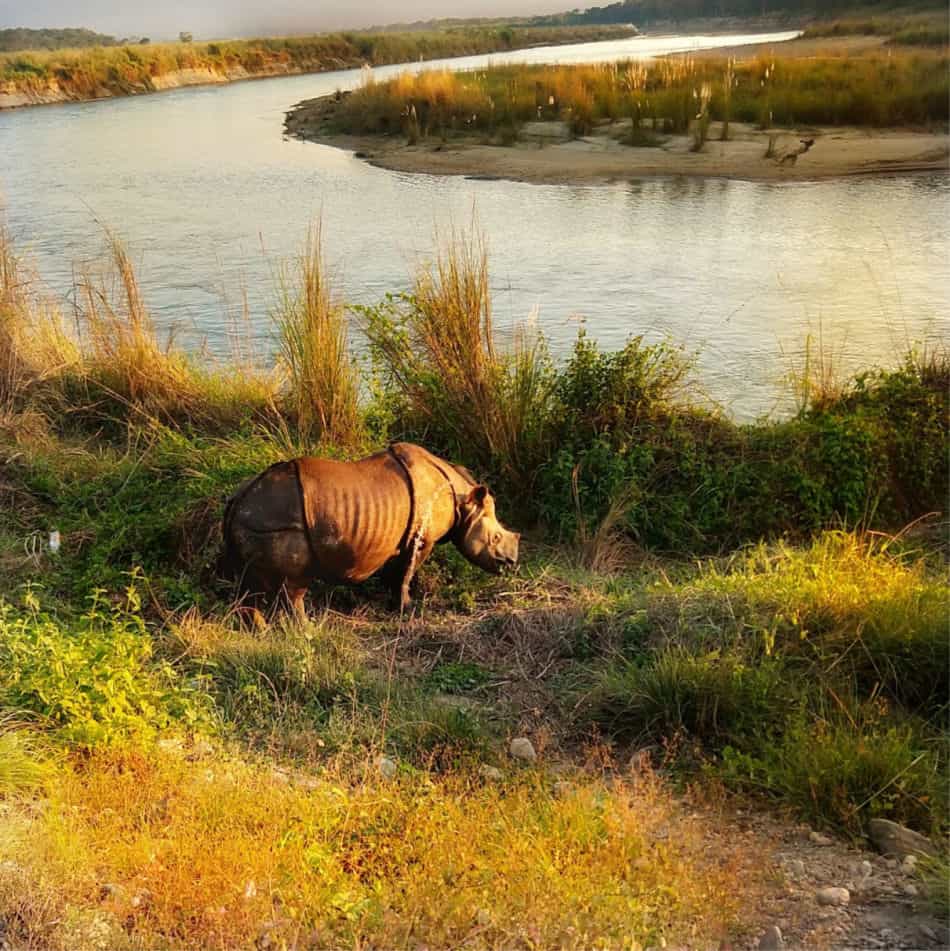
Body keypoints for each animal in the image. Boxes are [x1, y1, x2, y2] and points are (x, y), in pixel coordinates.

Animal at [221, 442, 520, 613]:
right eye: (495, 538)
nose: (511, 563)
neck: (462, 499)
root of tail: (238, 500)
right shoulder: (422, 539)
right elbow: (407, 573)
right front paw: (407, 609)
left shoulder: (401, 538)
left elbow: (396, 571)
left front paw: (391, 602)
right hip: (278, 526)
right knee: (293, 584)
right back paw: (306, 629)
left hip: (253, 520)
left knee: (251, 586)